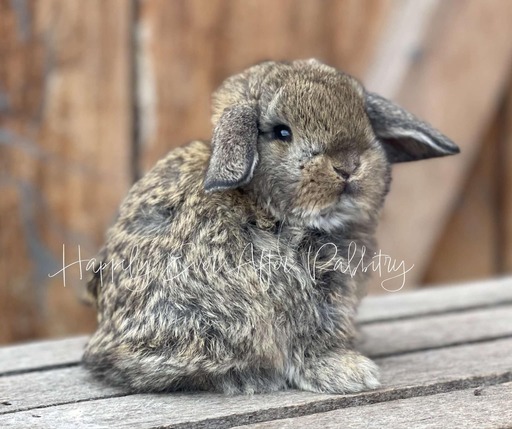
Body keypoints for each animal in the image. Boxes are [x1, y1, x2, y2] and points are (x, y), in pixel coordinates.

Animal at [82, 58, 458, 392]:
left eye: (365, 121)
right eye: (282, 132)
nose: (348, 165)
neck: (267, 205)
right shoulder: (302, 294)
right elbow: (310, 340)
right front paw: (350, 372)